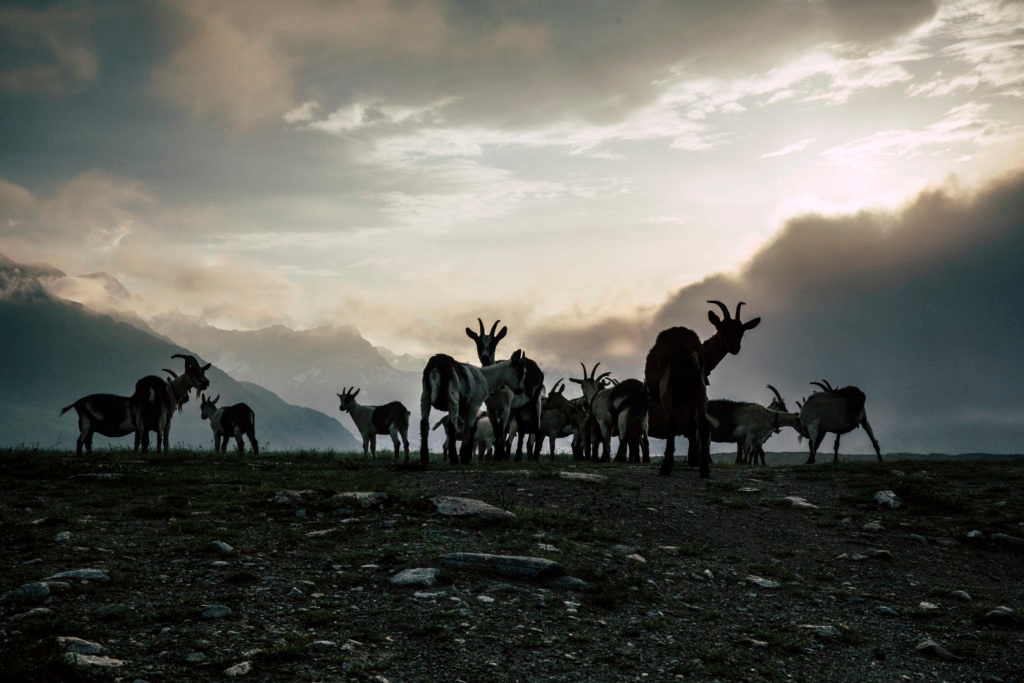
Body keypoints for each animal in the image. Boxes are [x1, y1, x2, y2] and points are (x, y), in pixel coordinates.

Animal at [647, 301, 761, 479]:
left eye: (741, 330)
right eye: (722, 328)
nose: (735, 347)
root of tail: (688, 351)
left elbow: (686, 425)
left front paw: (690, 458)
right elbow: (692, 425)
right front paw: (693, 459)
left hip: (669, 390)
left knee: (672, 424)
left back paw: (666, 467)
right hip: (700, 391)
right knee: (703, 425)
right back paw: (704, 470)